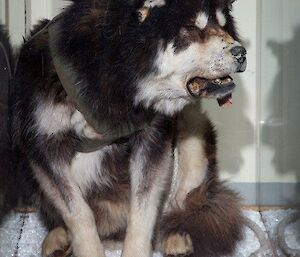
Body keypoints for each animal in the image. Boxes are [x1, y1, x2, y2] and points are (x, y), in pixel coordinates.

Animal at [0, 0, 247, 255]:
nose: (241, 52)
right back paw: (57, 239)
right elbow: (78, 213)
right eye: (192, 28)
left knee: (183, 205)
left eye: (223, 26)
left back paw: (174, 237)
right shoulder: (44, 145)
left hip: (193, 126)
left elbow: (143, 210)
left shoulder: (152, 137)